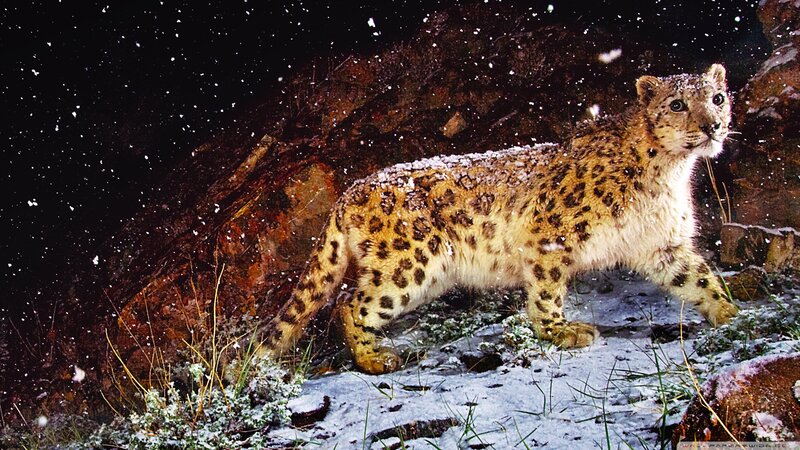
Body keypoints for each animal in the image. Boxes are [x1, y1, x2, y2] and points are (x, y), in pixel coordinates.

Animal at [259, 64, 739, 374]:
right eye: (677, 104)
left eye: (717, 98)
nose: (712, 125)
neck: (670, 174)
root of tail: (351, 190)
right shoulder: (551, 235)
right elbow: (546, 291)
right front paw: (560, 331)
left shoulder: (661, 244)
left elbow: (698, 277)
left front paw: (731, 313)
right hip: (410, 265)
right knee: (348, 303)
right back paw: (375, 359)